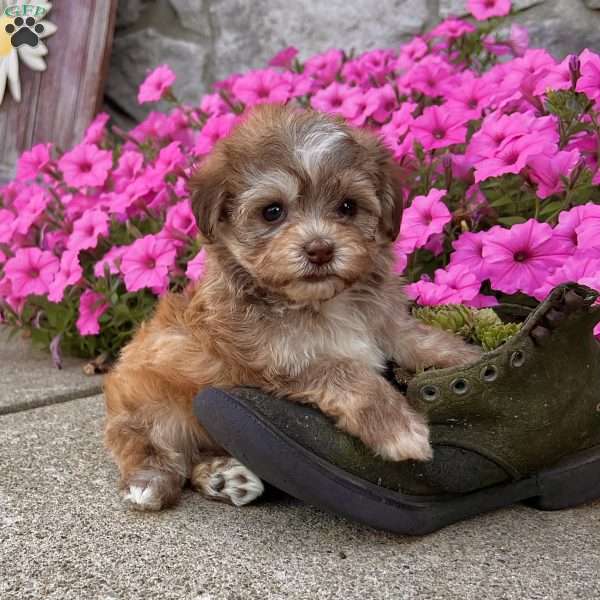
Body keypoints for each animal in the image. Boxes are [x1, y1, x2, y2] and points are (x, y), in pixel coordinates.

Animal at [102, 104, 478, 510]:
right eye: (272, 211)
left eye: (348, 207)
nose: (320, 249)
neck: (324, 303)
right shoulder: (277, 363)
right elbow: (346, 372)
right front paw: (399, 428)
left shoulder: (386, 323)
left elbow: (422, 341)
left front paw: (468, 359)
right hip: (148, 399)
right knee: (149, 442)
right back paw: (150, 481)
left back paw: (225, 477)